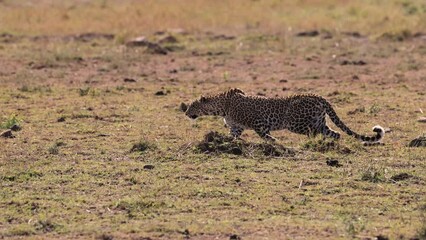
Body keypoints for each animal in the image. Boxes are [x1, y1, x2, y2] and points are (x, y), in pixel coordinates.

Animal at [185, 88, 384, 143]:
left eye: (192, 105)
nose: (186, 113)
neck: (221, 106)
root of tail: (317, 96)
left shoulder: (258, 123)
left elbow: (265, 135)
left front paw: (275, 143)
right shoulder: (236, 128)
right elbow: (233, 136)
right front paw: (225, 142)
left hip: (296, 123)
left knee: (313, 133)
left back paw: (311, 144)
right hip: (319, 121)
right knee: (335, 133)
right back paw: (328, 145)